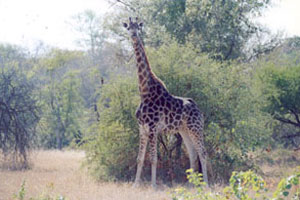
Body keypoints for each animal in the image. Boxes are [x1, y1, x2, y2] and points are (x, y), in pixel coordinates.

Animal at [123, 17, 209, 188]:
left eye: (138, 27)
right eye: (128, 27)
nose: (134, 35)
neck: (144, 92)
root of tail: (199, 110)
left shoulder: (153, 128)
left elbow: (153, 159)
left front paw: (153, 186)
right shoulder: (142, 129)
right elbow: (140, 158)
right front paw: (135, 185)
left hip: (196, 128)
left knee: (203, 153)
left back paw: (207, 185)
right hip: (184, 130)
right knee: (193, 154)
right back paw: (191, 186)